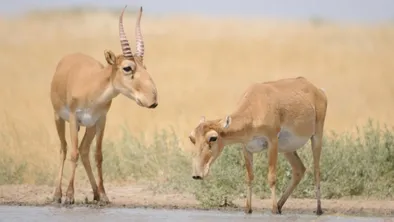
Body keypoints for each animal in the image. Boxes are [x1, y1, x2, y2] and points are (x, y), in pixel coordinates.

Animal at [50, 6, 158, 205]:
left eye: (144, 67)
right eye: (127, 68)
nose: (152, 100)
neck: (92, 86)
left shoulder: (101, 120)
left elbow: (98, 155)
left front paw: (104, 195)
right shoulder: (74, 119)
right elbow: (73, 154)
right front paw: (69, 196)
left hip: (90, 127)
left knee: (84, 151)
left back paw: (95, 194)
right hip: (58, 118)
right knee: (64, 149)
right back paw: (57, 194)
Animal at [189, 76, 328, 215]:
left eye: (213, 137)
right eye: (192, 138)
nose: (197, 174)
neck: (255, 105)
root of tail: (318, 90)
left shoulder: (272, 142)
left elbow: (271, 177)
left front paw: (273, 209)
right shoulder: (246, 148)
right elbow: (249, 177)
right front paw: (248, 209)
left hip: (316, 136)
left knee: (317, 171)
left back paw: (318, 209)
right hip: (287, 149)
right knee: (299, 169)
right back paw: (280, 205)